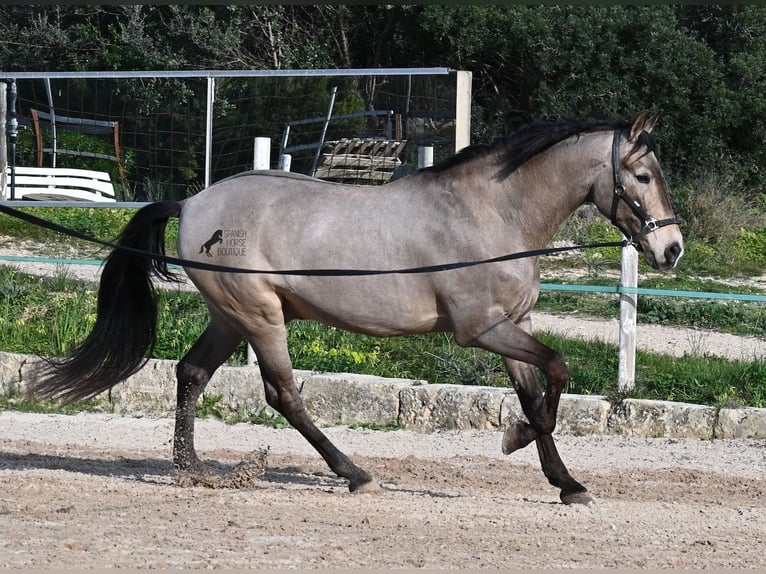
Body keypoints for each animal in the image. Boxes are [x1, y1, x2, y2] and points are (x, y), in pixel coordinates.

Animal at [27, 110, 684, 506]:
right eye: (642, 175)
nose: (671, 250)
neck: (492, 214)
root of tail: (191, 204)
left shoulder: (511, 325)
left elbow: (536, 388)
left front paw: (566, 483)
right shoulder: (481, 329)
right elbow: (557, 372)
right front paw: (518, 439)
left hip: (230, 317)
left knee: (191, 373)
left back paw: (193, 469)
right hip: (261, 317)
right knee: (282, 394)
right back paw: (354, 473)